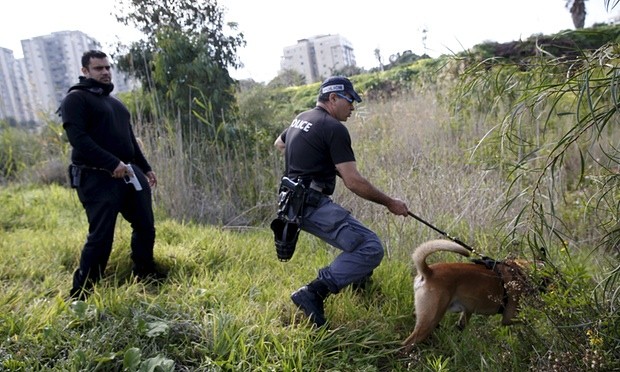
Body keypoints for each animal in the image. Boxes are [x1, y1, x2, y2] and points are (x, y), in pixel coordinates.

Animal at [402, 240, 536, 350]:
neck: (519, 272)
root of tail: (429, 271)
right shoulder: (509, 317)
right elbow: (529, 320)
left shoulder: (467, 311)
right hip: (430, 321)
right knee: (406, 345)